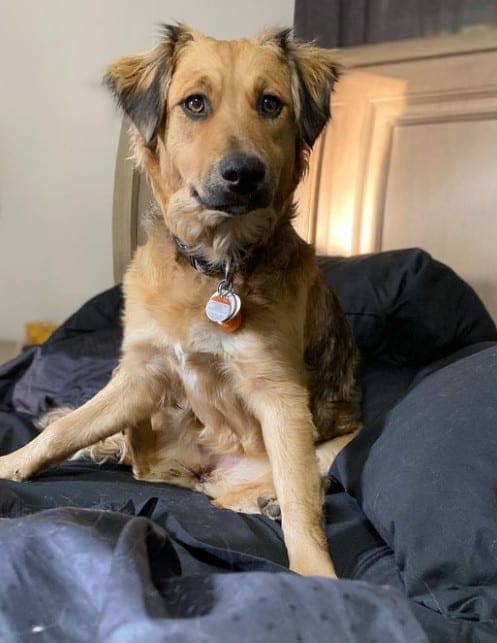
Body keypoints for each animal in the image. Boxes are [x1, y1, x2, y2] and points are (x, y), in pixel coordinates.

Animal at [0, 25, 360, 580]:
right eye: (194, 103)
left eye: (271, 103)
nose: (244, 174)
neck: (215, 267)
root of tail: (209, 466)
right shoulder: (141, 375)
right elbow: (66, 428)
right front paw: (12, 462)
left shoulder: (282, 397)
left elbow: (302, 505)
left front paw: (317, 576)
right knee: (136, 459)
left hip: (338, 439)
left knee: (298, 483)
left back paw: (265, 501)